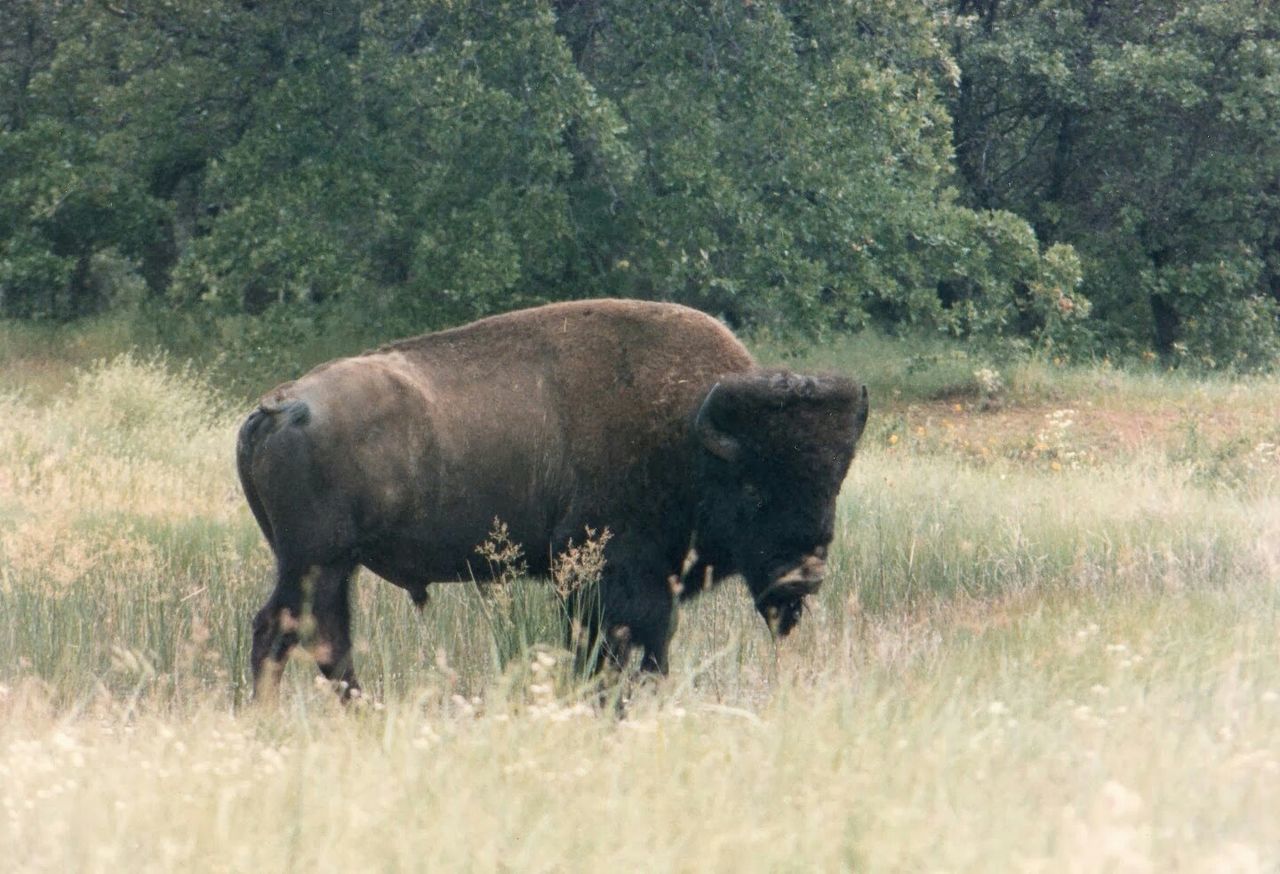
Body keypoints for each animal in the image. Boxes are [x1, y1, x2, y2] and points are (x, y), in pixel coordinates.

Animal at [235, 296, 865, 701]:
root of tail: (277, 408)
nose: (805, 576)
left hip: (332, 567)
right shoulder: (609, 579)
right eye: (756, 487)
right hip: (314, 562)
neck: (687, 434)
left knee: (324, 639)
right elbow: (610, 652)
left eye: (833, 480)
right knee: (281, 632)